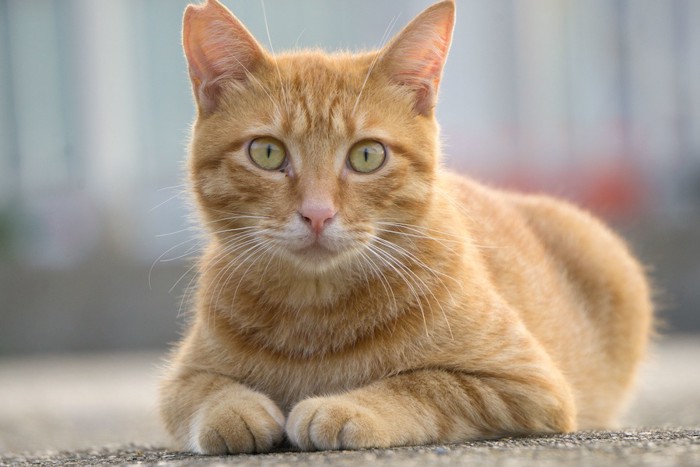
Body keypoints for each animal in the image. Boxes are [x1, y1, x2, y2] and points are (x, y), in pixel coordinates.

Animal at [159, 0, 652, 456]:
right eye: (266, 152)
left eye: (367, 156)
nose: (317, 213)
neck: (315, 318)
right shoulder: (179, 379)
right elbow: (205, 390)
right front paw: (234, 410)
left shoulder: (526, 384)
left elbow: (424, 384)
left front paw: (347, 407)